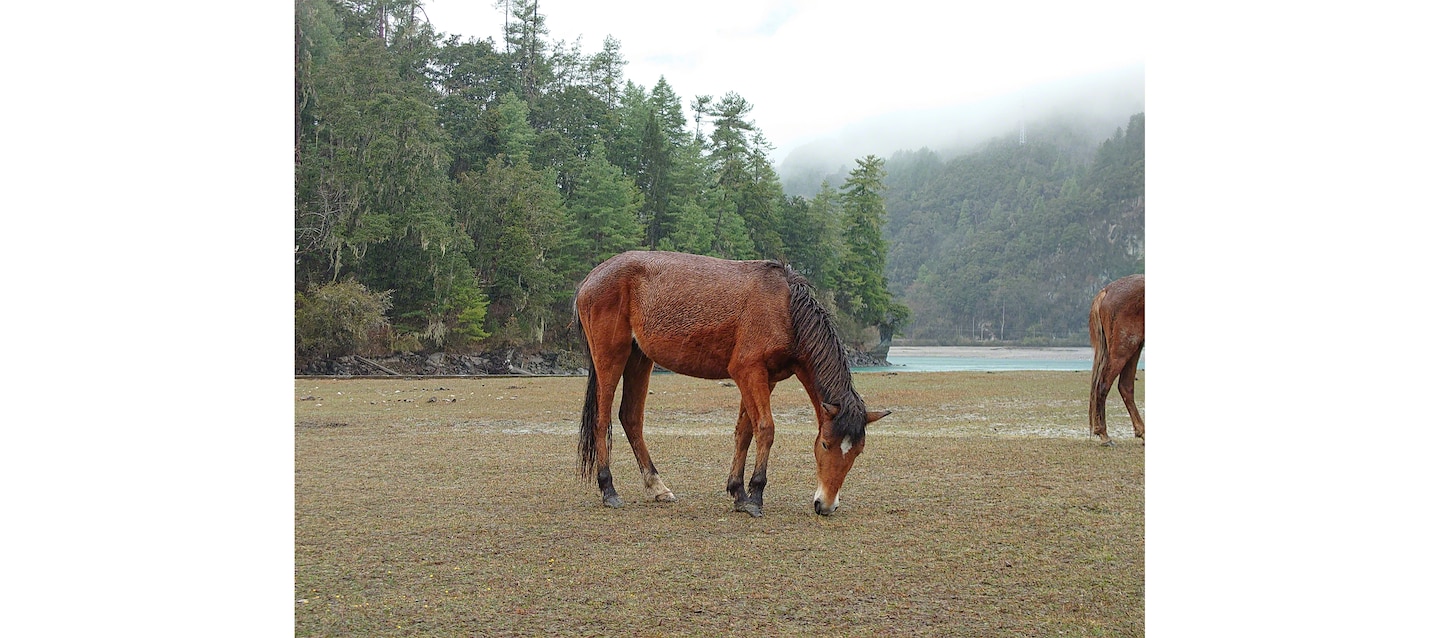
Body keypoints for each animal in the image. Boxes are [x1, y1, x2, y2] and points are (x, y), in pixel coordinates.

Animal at [573, 252, 887, 518]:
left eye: (857, 451)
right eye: (824, 443)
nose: (827, 505)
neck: (784, 308)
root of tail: (590, 279)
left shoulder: (765, 379)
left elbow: (745, 432)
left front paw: (738, 492)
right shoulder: (749, 372)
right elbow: (765, 429)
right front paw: (755, 495)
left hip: (639, 359)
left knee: (631, 418)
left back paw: (657, 487)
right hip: (611, 357)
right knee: (602, 419)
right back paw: (608, 489)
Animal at [1088, 276, 1146, 449]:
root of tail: (1107, 291)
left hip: (1135, 346)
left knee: (1125, 386)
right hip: (1124, 347)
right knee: (1103, 385)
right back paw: (1104, 435)